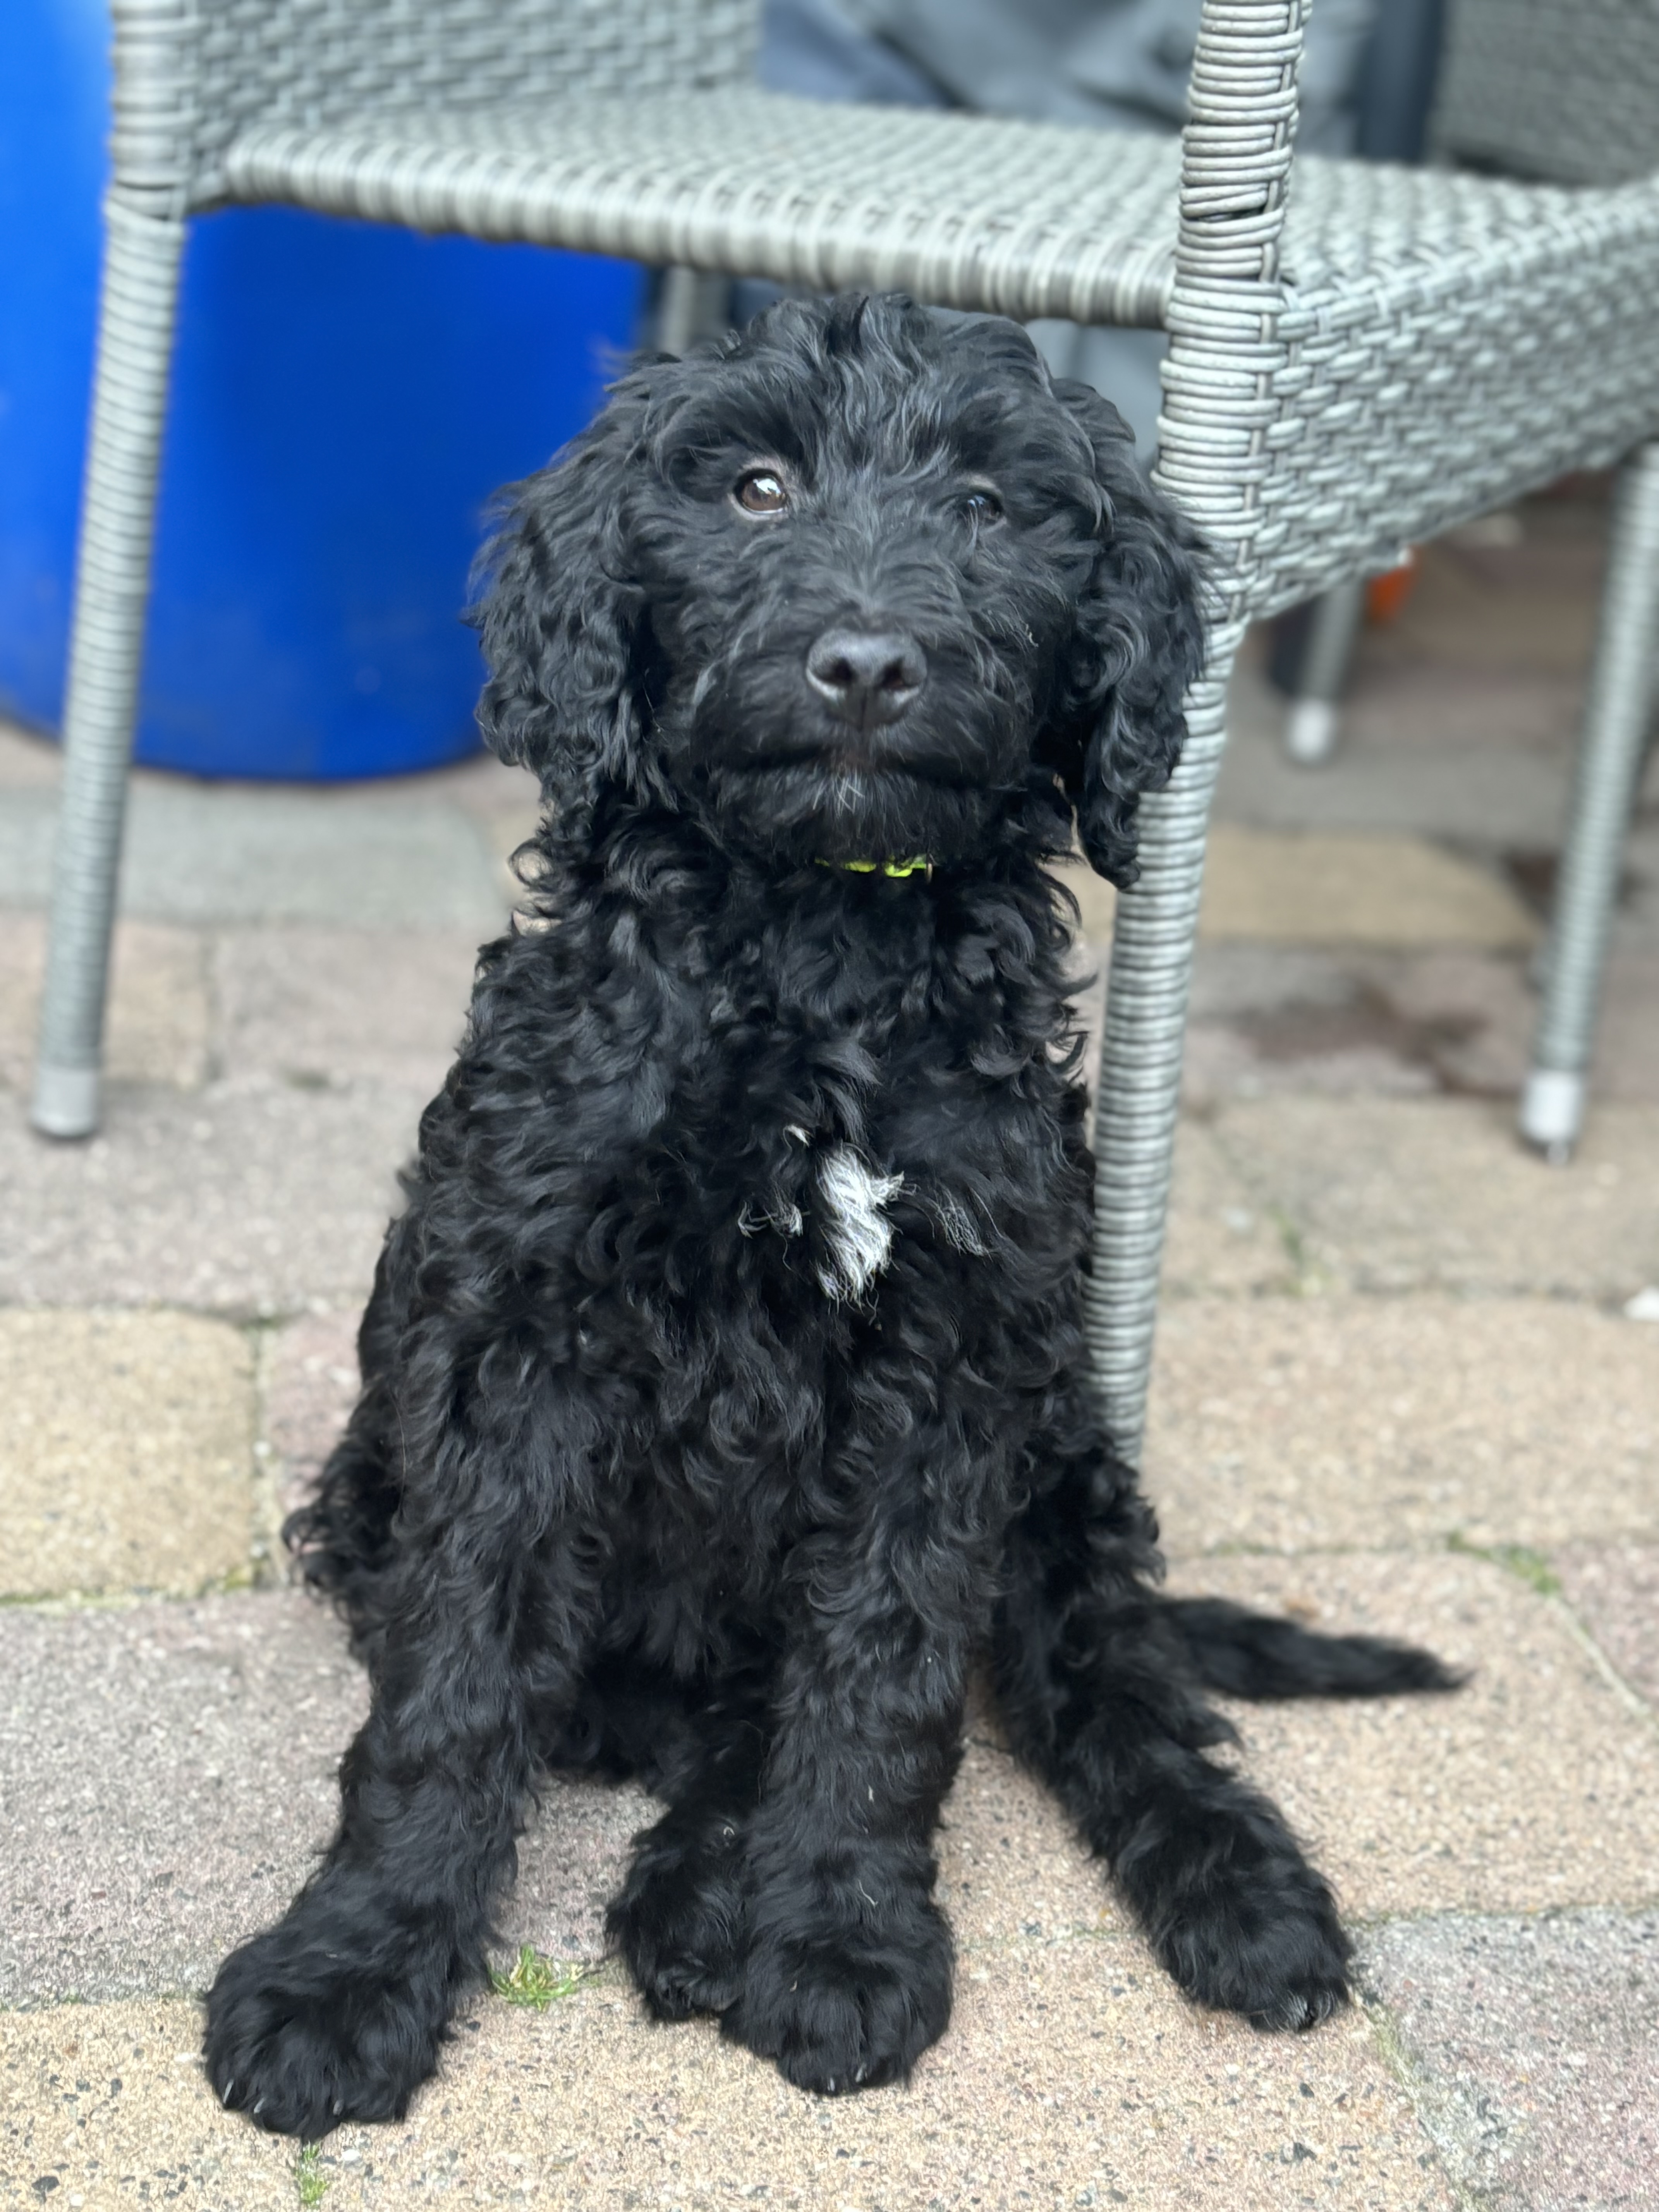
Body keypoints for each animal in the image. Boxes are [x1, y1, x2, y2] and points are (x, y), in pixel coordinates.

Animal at [204, 290, 1451, 2123]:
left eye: (991, 511)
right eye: (754, 488)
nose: (865, 665)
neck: (812, 960)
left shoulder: (952, 1367)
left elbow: (881, 1673)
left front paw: (843, 1942)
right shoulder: (511, 1348)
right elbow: (452, 1689)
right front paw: (350, 1967)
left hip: (1063, 1461)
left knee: (1105, 1688)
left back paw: (1231, 1899)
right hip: (374, 1480)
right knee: (679, 1703)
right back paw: (689, 1882)